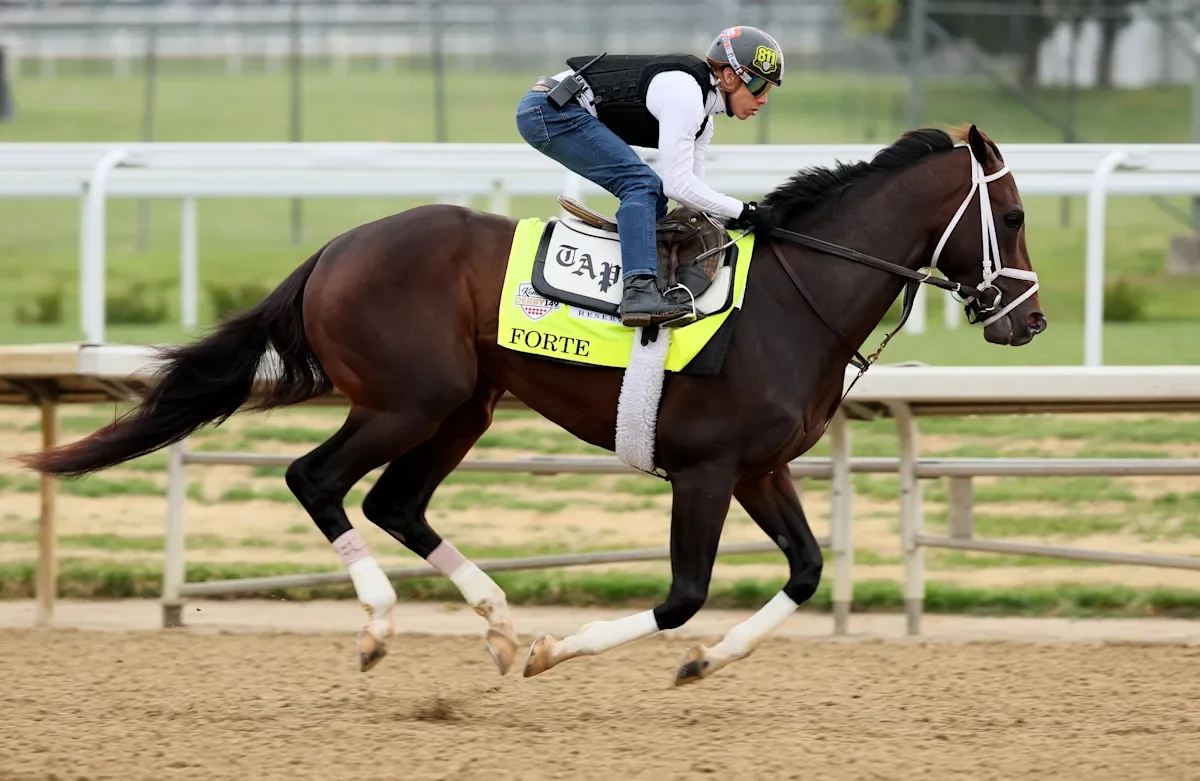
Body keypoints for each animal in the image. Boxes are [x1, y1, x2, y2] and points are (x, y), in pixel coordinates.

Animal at [20, 124, 1045, 686]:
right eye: (1016, 217)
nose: (1029, 319)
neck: (797, 297)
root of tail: (337, 247)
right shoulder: (706, 470)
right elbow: (682, 594)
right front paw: (568, 652)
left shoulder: (759, 467)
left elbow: (804, 572)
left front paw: (703, 662)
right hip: (409, 398)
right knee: (317, 479)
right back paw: (383, 625)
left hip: (465, 405)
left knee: (395, 501)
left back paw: (501, 624)